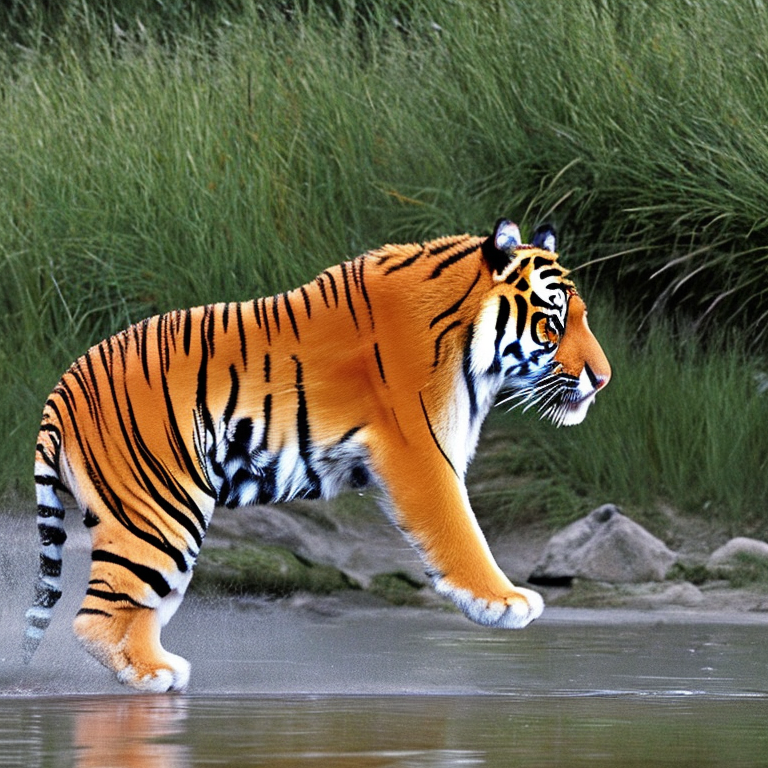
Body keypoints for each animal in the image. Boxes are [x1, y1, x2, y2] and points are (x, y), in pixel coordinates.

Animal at [23, 219, 610, 692]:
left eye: (582, 318)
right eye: (553, 325)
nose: (603, 379)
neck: (469, 347)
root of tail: (62, 389)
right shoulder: (421, 452)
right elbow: (459, 530)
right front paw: (504, 602)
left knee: (130, 605)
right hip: (158, 510)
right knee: (99, 614)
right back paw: (155, 676)